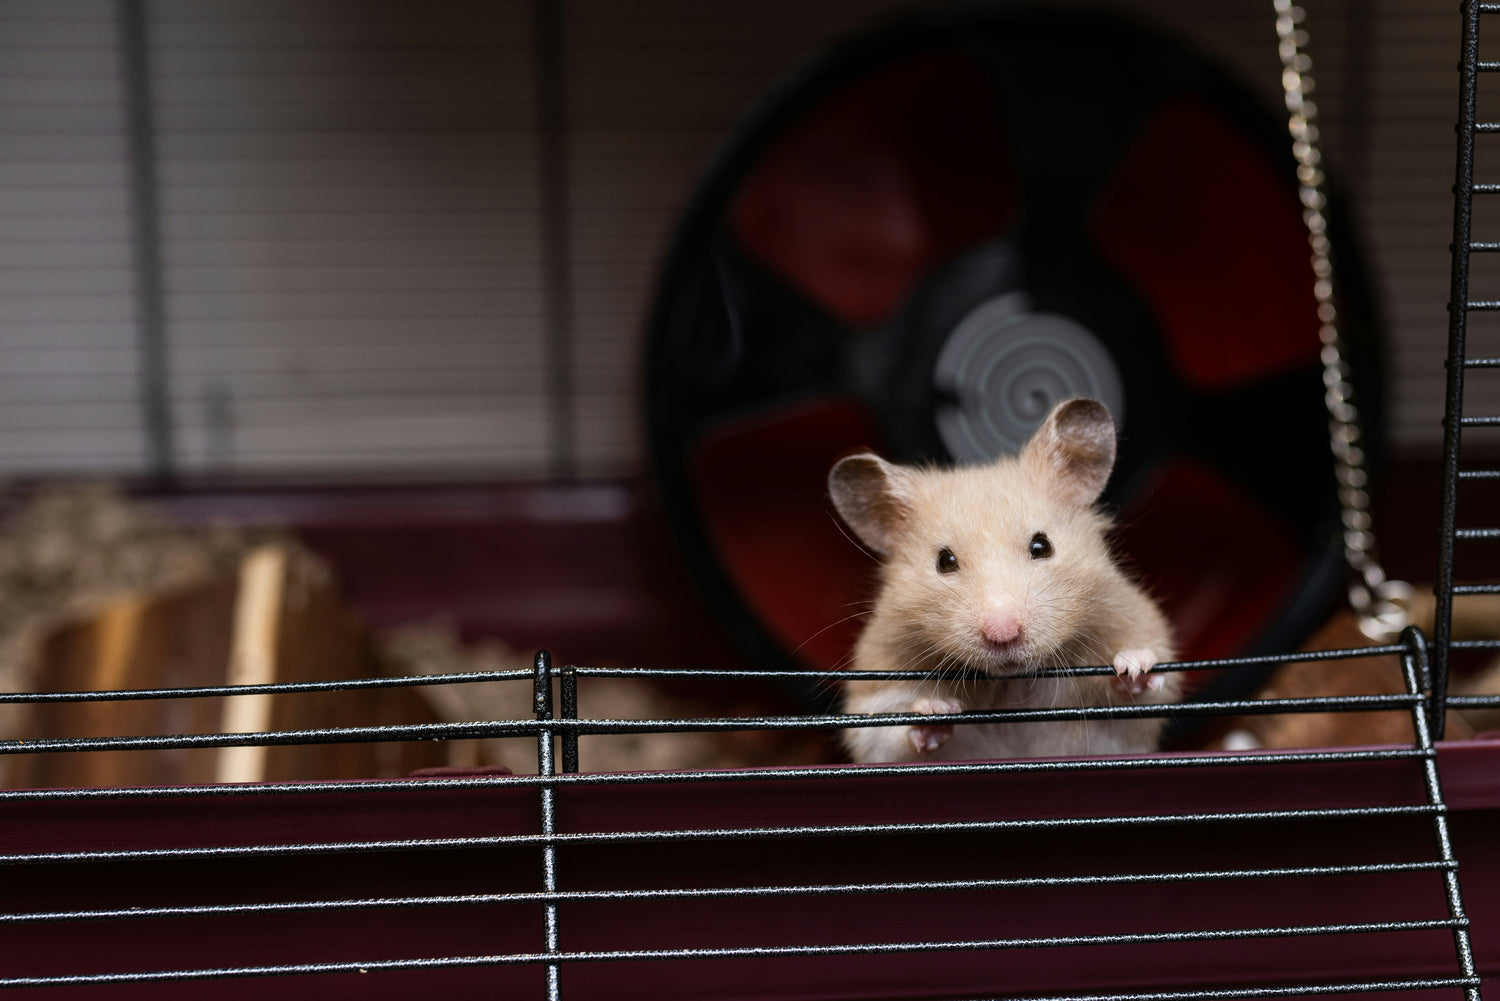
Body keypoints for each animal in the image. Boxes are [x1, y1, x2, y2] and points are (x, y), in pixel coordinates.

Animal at [828, 397, 1178, 762]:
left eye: (1042, 545)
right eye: (944, 561)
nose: (1003, 633)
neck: (1011, 683)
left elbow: (1140, 694)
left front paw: (1134, 667)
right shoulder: (873, 697)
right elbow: (890, 732)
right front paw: (936, 710)